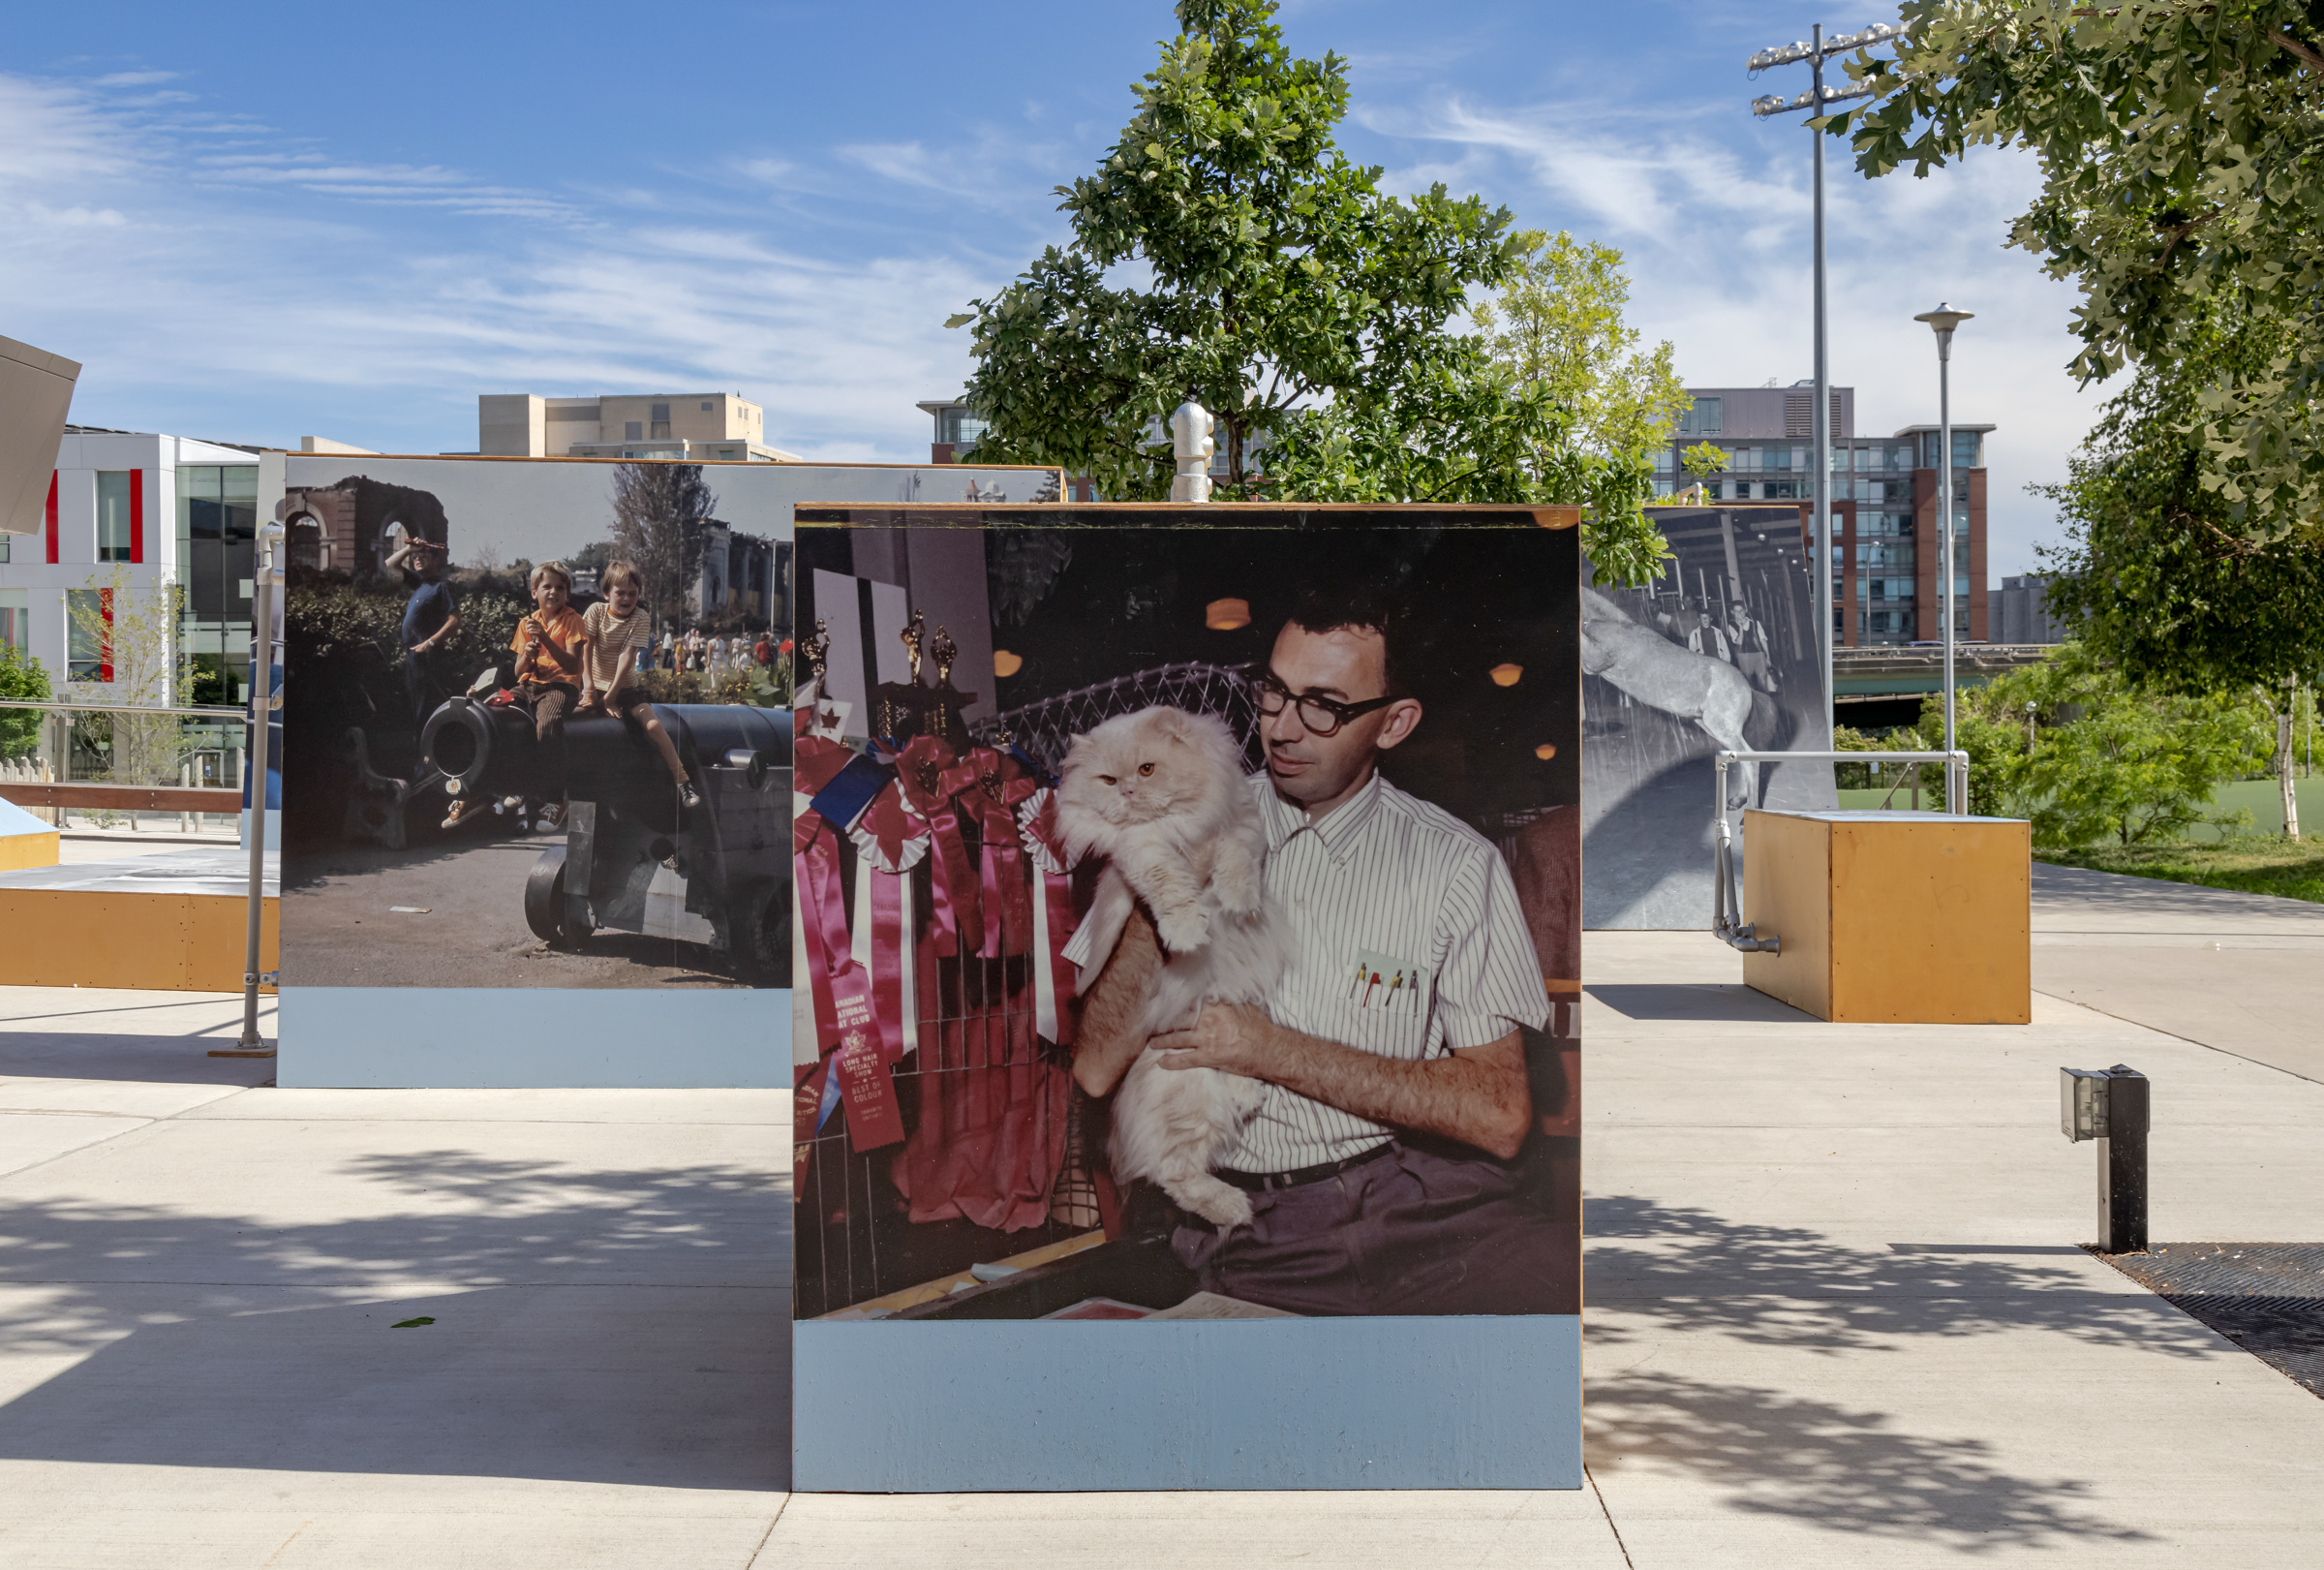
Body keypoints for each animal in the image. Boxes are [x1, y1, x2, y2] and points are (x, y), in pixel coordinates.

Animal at [1055, 707, 1292, 1237]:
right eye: (1108, 780)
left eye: (1146, 770)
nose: (1126, 792)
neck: (1178, 826)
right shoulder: (1140, 854)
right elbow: (1170, 889)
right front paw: (1187, 933)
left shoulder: (1239, 826)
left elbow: (1236, 863)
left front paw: (1237, 902)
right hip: (1188, 1095)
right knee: (1173, 1173)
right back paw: (1236, 1208)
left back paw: (1248, 1097)